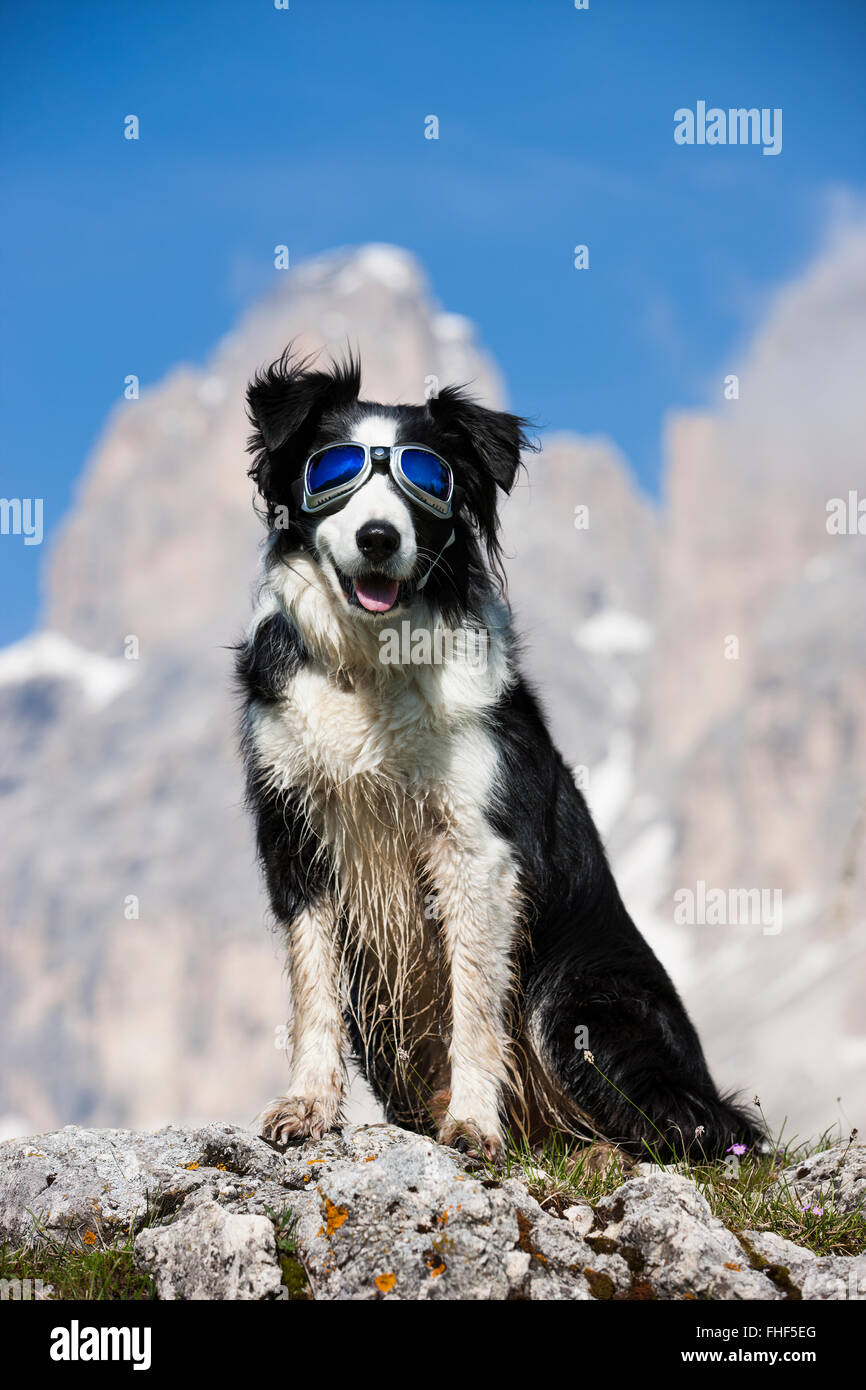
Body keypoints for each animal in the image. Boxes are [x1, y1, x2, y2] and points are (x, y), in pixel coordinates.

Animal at [237, 350, 756, 1162]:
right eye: (333, 470)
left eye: (429, 477)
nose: (379, 537)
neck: (369, 667)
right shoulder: (295, 829)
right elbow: (312, 983)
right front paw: (307, 1106)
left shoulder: (476, 847)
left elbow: (475, 1001)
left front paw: (475, 1123)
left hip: (583, 1003)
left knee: (694, 1130)